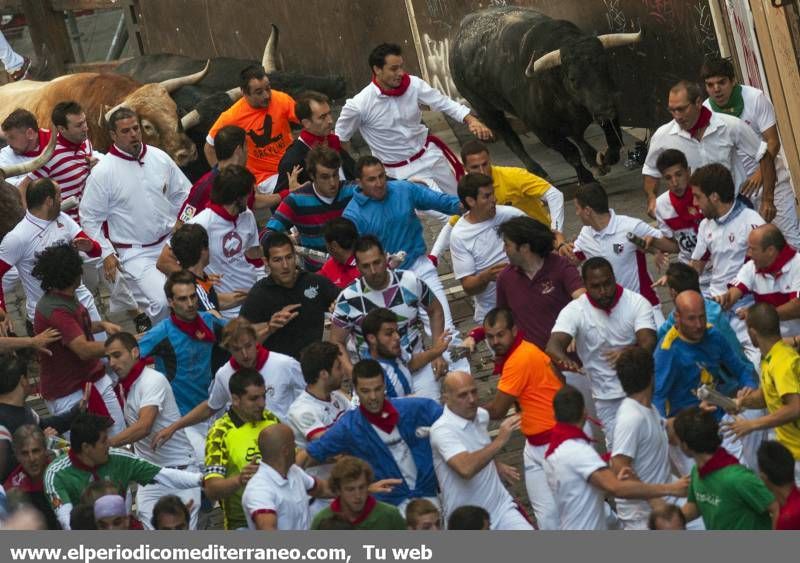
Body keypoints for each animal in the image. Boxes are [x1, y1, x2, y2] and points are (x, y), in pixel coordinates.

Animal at [454, 6, 640, 184]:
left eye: (605, 66)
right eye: (572, 78)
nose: (607, 111)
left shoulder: (604, 103)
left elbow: (614, 141)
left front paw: (602, 159)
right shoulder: (545, 132)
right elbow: (571, 153)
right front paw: (585, 178)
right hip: (486, 109)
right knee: (511, 139)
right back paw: (537, 170)